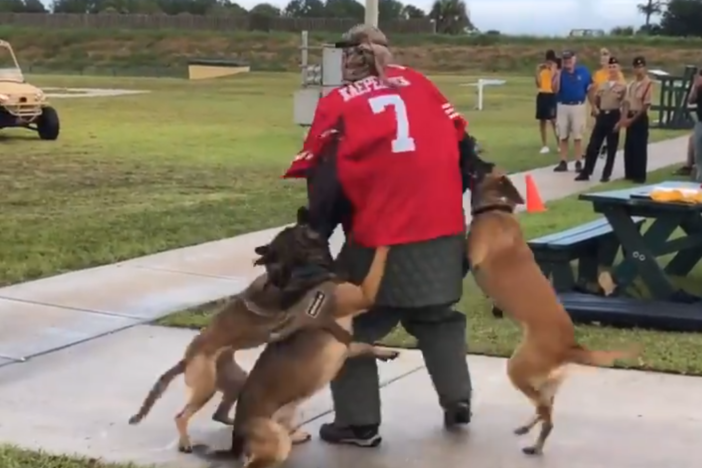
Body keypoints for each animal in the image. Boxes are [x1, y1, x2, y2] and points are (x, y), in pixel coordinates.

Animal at [126, 207, 358, 450]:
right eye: (296, 237)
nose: (304, 214)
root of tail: (186, 359)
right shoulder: (289, 293)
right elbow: (311, 282)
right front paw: (329, 275)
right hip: (205, 387)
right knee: (181, 416)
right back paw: (186, 442)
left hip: (234, 381)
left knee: (219, 413)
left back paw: (237, 424)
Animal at [468, 169, 644, 458]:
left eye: (483, 169)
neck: (497, 208)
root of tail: (570, 346)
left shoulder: (475, 255)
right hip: (542, 380)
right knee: (545, 409)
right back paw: (530, 434)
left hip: (518, 368)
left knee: (545, 412)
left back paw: (534, 439)